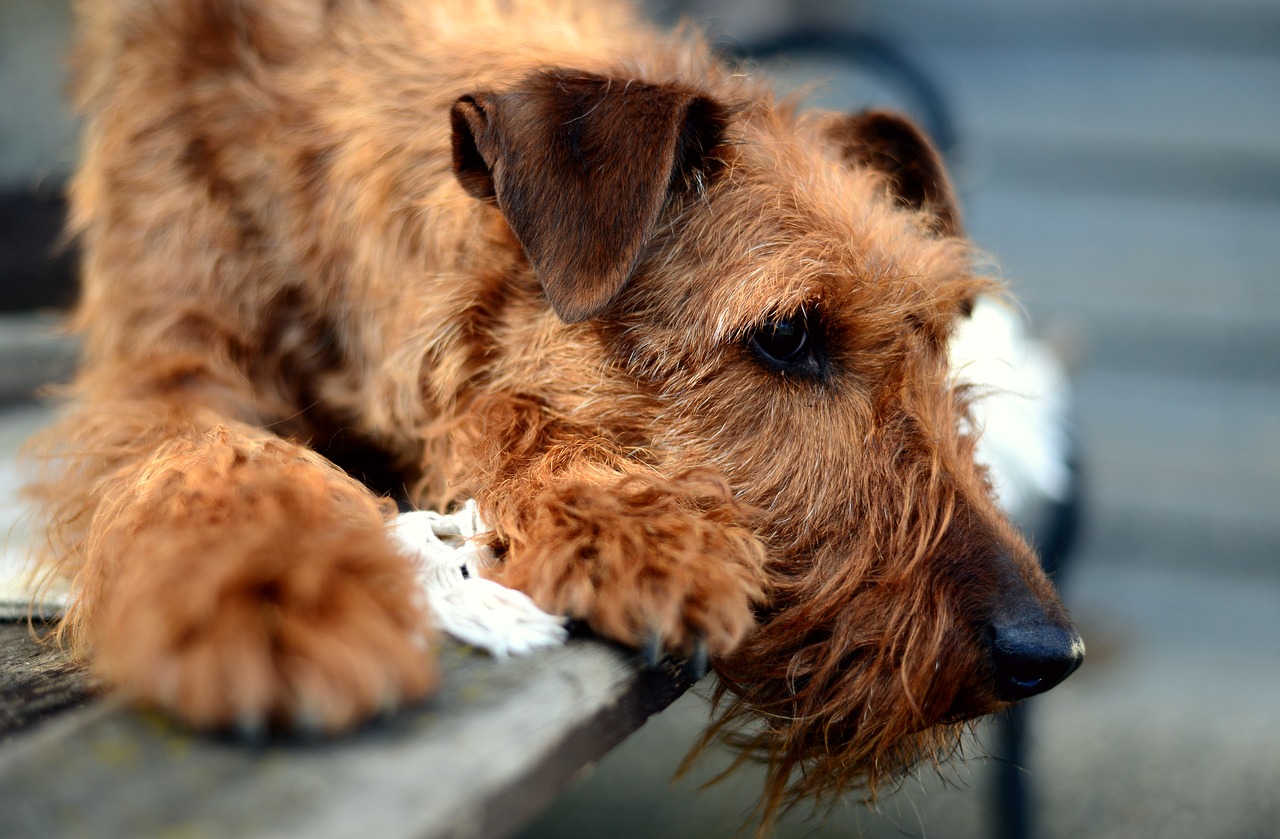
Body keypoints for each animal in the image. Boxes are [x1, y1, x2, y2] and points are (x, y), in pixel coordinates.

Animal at [30, 0, 1080, 824]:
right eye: (788, 333)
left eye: (945, 334)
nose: (1050, 651)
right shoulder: (163, 362)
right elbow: (215, 451)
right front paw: (280, 590)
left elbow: (496, 407)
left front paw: (617, 514)